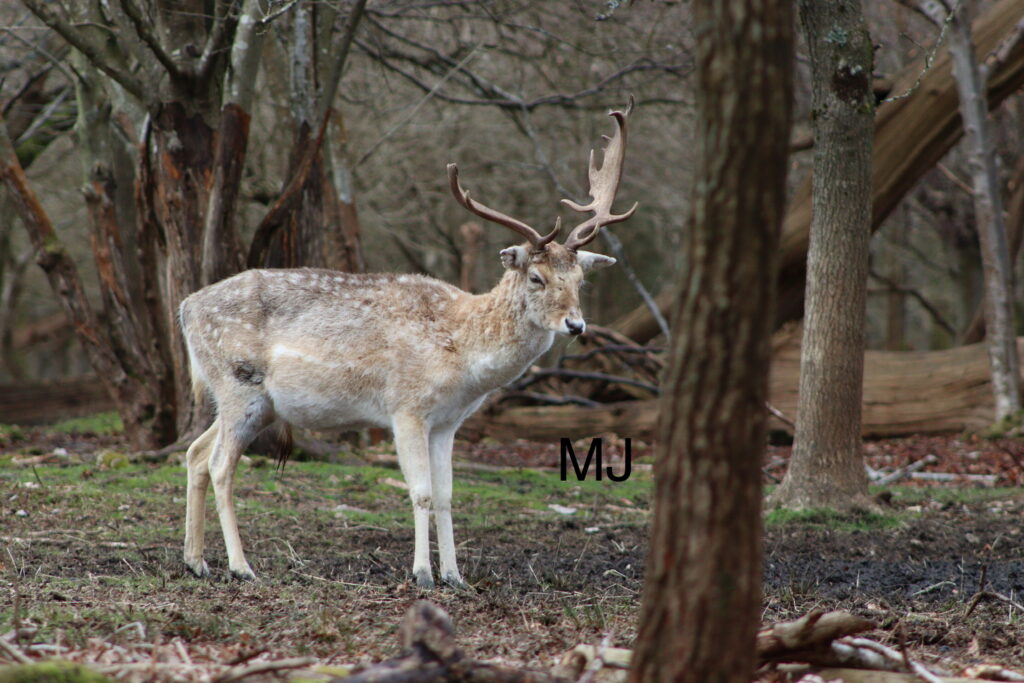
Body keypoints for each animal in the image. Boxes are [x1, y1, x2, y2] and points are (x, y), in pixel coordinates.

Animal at [178, 99, 637, 589]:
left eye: (581, 279)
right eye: (536, 277)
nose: (576, 324)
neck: (463, 358)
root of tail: (185, 308)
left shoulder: (448, 423)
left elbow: (448, 496)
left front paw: (455, 576)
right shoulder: (406, 408)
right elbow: (420, 493)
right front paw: (422, 574)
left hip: (254, 402)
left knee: (195, 453)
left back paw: (196, 561)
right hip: (238, 383)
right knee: (220, 465)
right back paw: (241, 566)